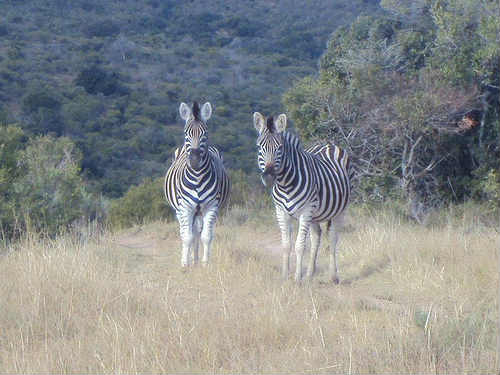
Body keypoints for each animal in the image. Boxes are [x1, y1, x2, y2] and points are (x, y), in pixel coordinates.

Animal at [167, 101, 231, 268]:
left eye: (205, 133)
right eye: (186, 133)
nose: (195, 160)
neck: (197, 177)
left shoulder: (211, 206)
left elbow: (206, 236)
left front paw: (204, 264)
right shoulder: (185, 207)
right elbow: (187, 236)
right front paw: (185, 264)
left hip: (199, 211)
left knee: (197, 231)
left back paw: (195, 259)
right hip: (182, 210)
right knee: (186, 231)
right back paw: (189, 258)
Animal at [252, 113, 354, 284]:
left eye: (280, 148)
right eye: (260, 147)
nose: (269, 177)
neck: (285, 184)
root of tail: (329, 145)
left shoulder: (305, 212)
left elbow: (300, 246)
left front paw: (297, 279)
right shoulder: (281, 212)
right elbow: (286, 245)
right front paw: (285, 276)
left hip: (340, 209)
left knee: (333, 238)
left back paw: (333, 276)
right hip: (315, 214)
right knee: (316, 237)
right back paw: (310, 274)